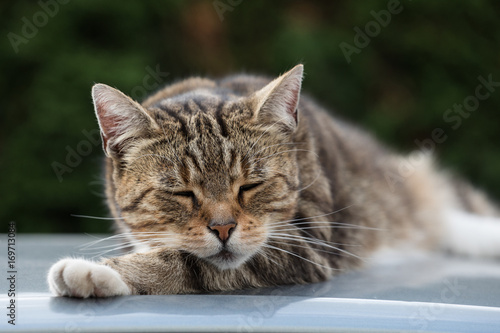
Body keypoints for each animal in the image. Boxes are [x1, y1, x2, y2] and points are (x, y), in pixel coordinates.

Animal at [47, 64, 500, 296]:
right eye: (181, 193)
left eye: (251, 185)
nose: (223, 228)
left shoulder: (306, 244)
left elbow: (189, 263)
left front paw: (100, 273)